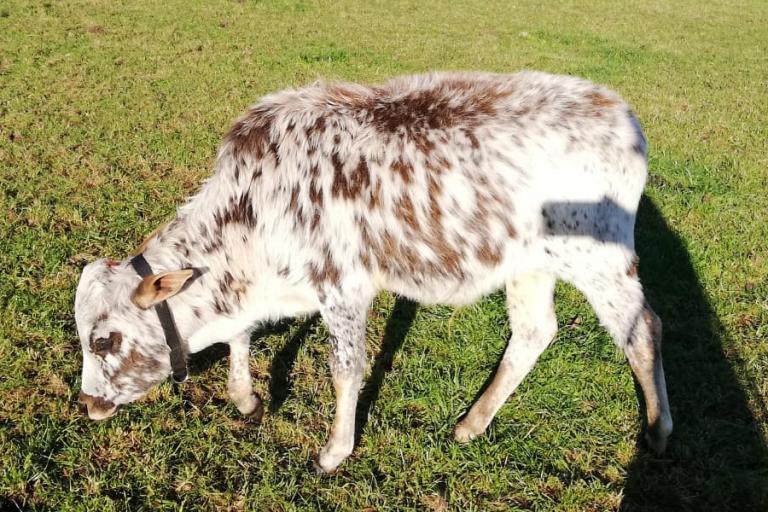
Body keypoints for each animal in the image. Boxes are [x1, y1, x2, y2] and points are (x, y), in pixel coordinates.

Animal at [73, 71, 672, 472]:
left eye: (103, 340)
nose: (88, 402)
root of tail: (619, 111)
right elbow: (241, 337)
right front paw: (246, 398)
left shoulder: (343, 288)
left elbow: (346, 370)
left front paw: (334, 451)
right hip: (530, 263)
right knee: (534, 331)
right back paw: (472, 423)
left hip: (599, 257)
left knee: (643, 329)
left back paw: (658, 429)